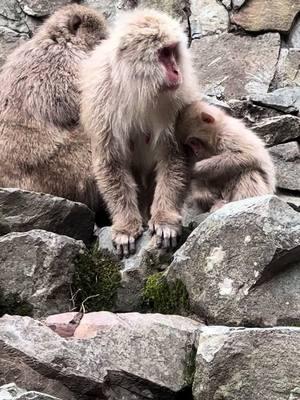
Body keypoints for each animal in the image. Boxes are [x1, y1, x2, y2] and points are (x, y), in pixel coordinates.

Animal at [81, 8, 199, 256]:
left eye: (173, 52)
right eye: (163, 53)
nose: (176, 70)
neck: (140, 88)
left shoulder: (180, 101)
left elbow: (175, 154)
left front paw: (164, 220)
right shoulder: (102, 99)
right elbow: (111, 161)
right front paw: (125, 227)